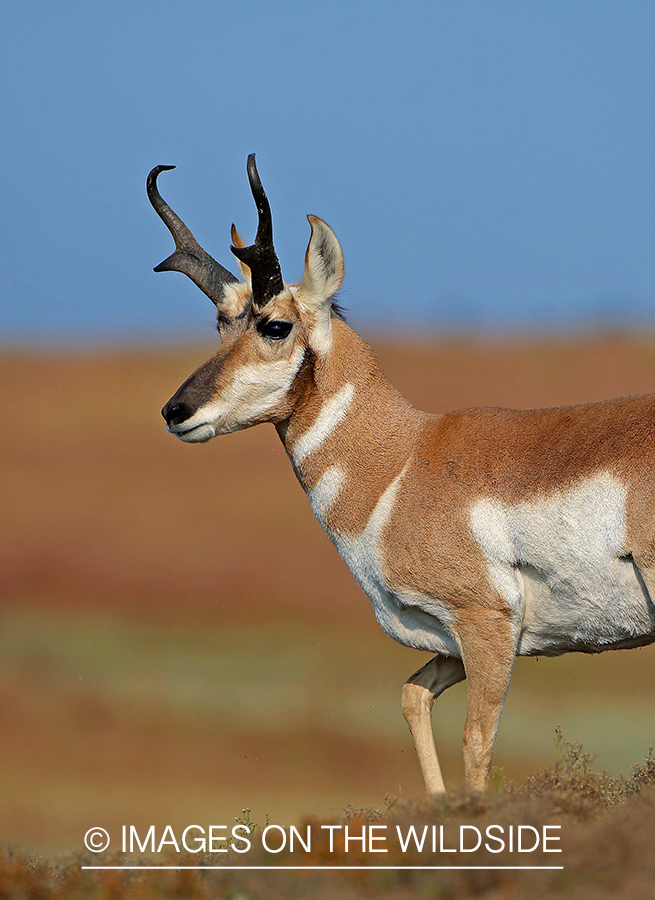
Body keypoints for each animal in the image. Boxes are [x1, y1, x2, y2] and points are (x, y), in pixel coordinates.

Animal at [149, 155, 655, 796]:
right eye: (220, 322)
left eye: (274, 326)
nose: (176, 411)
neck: (403, 460)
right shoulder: (448, 646)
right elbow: (412, 697)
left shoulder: (487, 627)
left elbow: (476, 745)